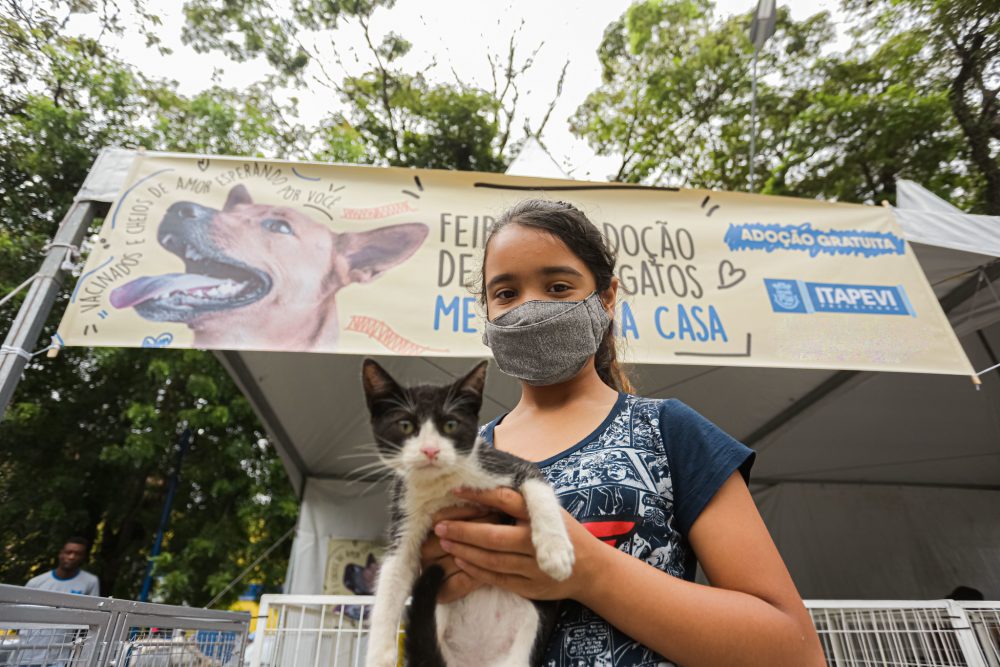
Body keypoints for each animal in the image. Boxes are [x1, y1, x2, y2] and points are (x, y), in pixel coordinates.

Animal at [364, 360, 576, 667]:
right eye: (405, 425)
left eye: (450, 425)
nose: (430, 450)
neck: (443, 485)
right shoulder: (405, 507)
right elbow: (394, 572)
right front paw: (379, 653)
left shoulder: (502, 465)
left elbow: (537, 486)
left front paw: (555, 552)